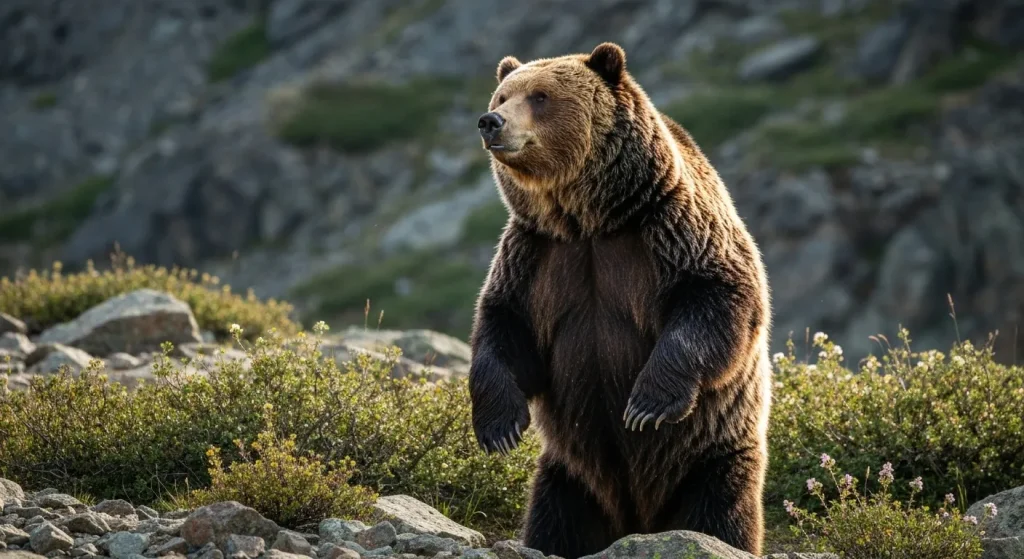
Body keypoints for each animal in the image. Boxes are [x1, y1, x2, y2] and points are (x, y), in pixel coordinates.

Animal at [467, 42, 772, 559]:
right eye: (504, 93)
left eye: (541, 96)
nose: (491, 121)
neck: (587, 219)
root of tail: (637, 521)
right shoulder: (534, 255)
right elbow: (504, 329)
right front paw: (499, 427)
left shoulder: (670, 229)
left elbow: (719, 299)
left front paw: (647, 405)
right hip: (571, 477)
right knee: (556, 519)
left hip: (712, 456)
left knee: (719, 511)